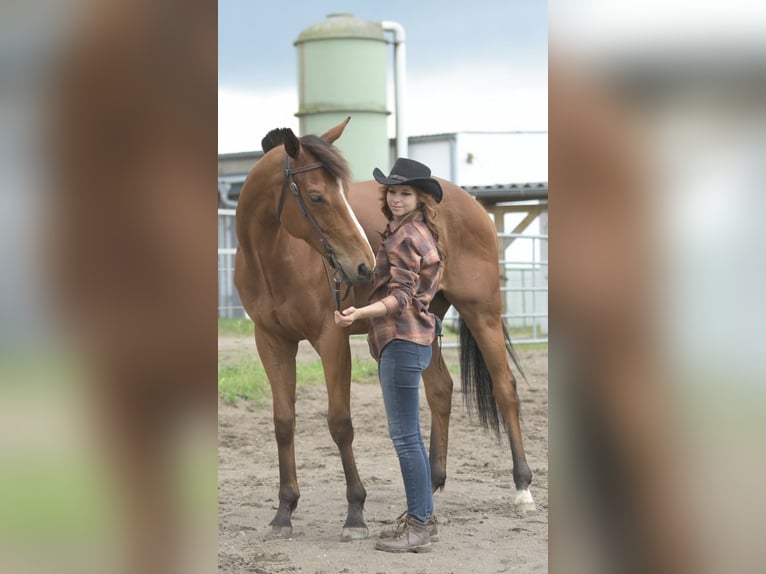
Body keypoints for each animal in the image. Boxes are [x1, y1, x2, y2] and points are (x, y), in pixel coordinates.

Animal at [234, 118, 536, 544]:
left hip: (483, 312)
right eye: (316, 196)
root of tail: (472, 203)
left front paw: (355, 513)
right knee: (440, 389)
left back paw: (523, 488)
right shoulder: (271, 342)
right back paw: (432, 485)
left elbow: (340, 423)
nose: (364, 266)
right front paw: (284, 512)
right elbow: (283, 422)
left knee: (505, 389)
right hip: (427, 316)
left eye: (343, 192)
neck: (273, 258)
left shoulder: (332, 338)